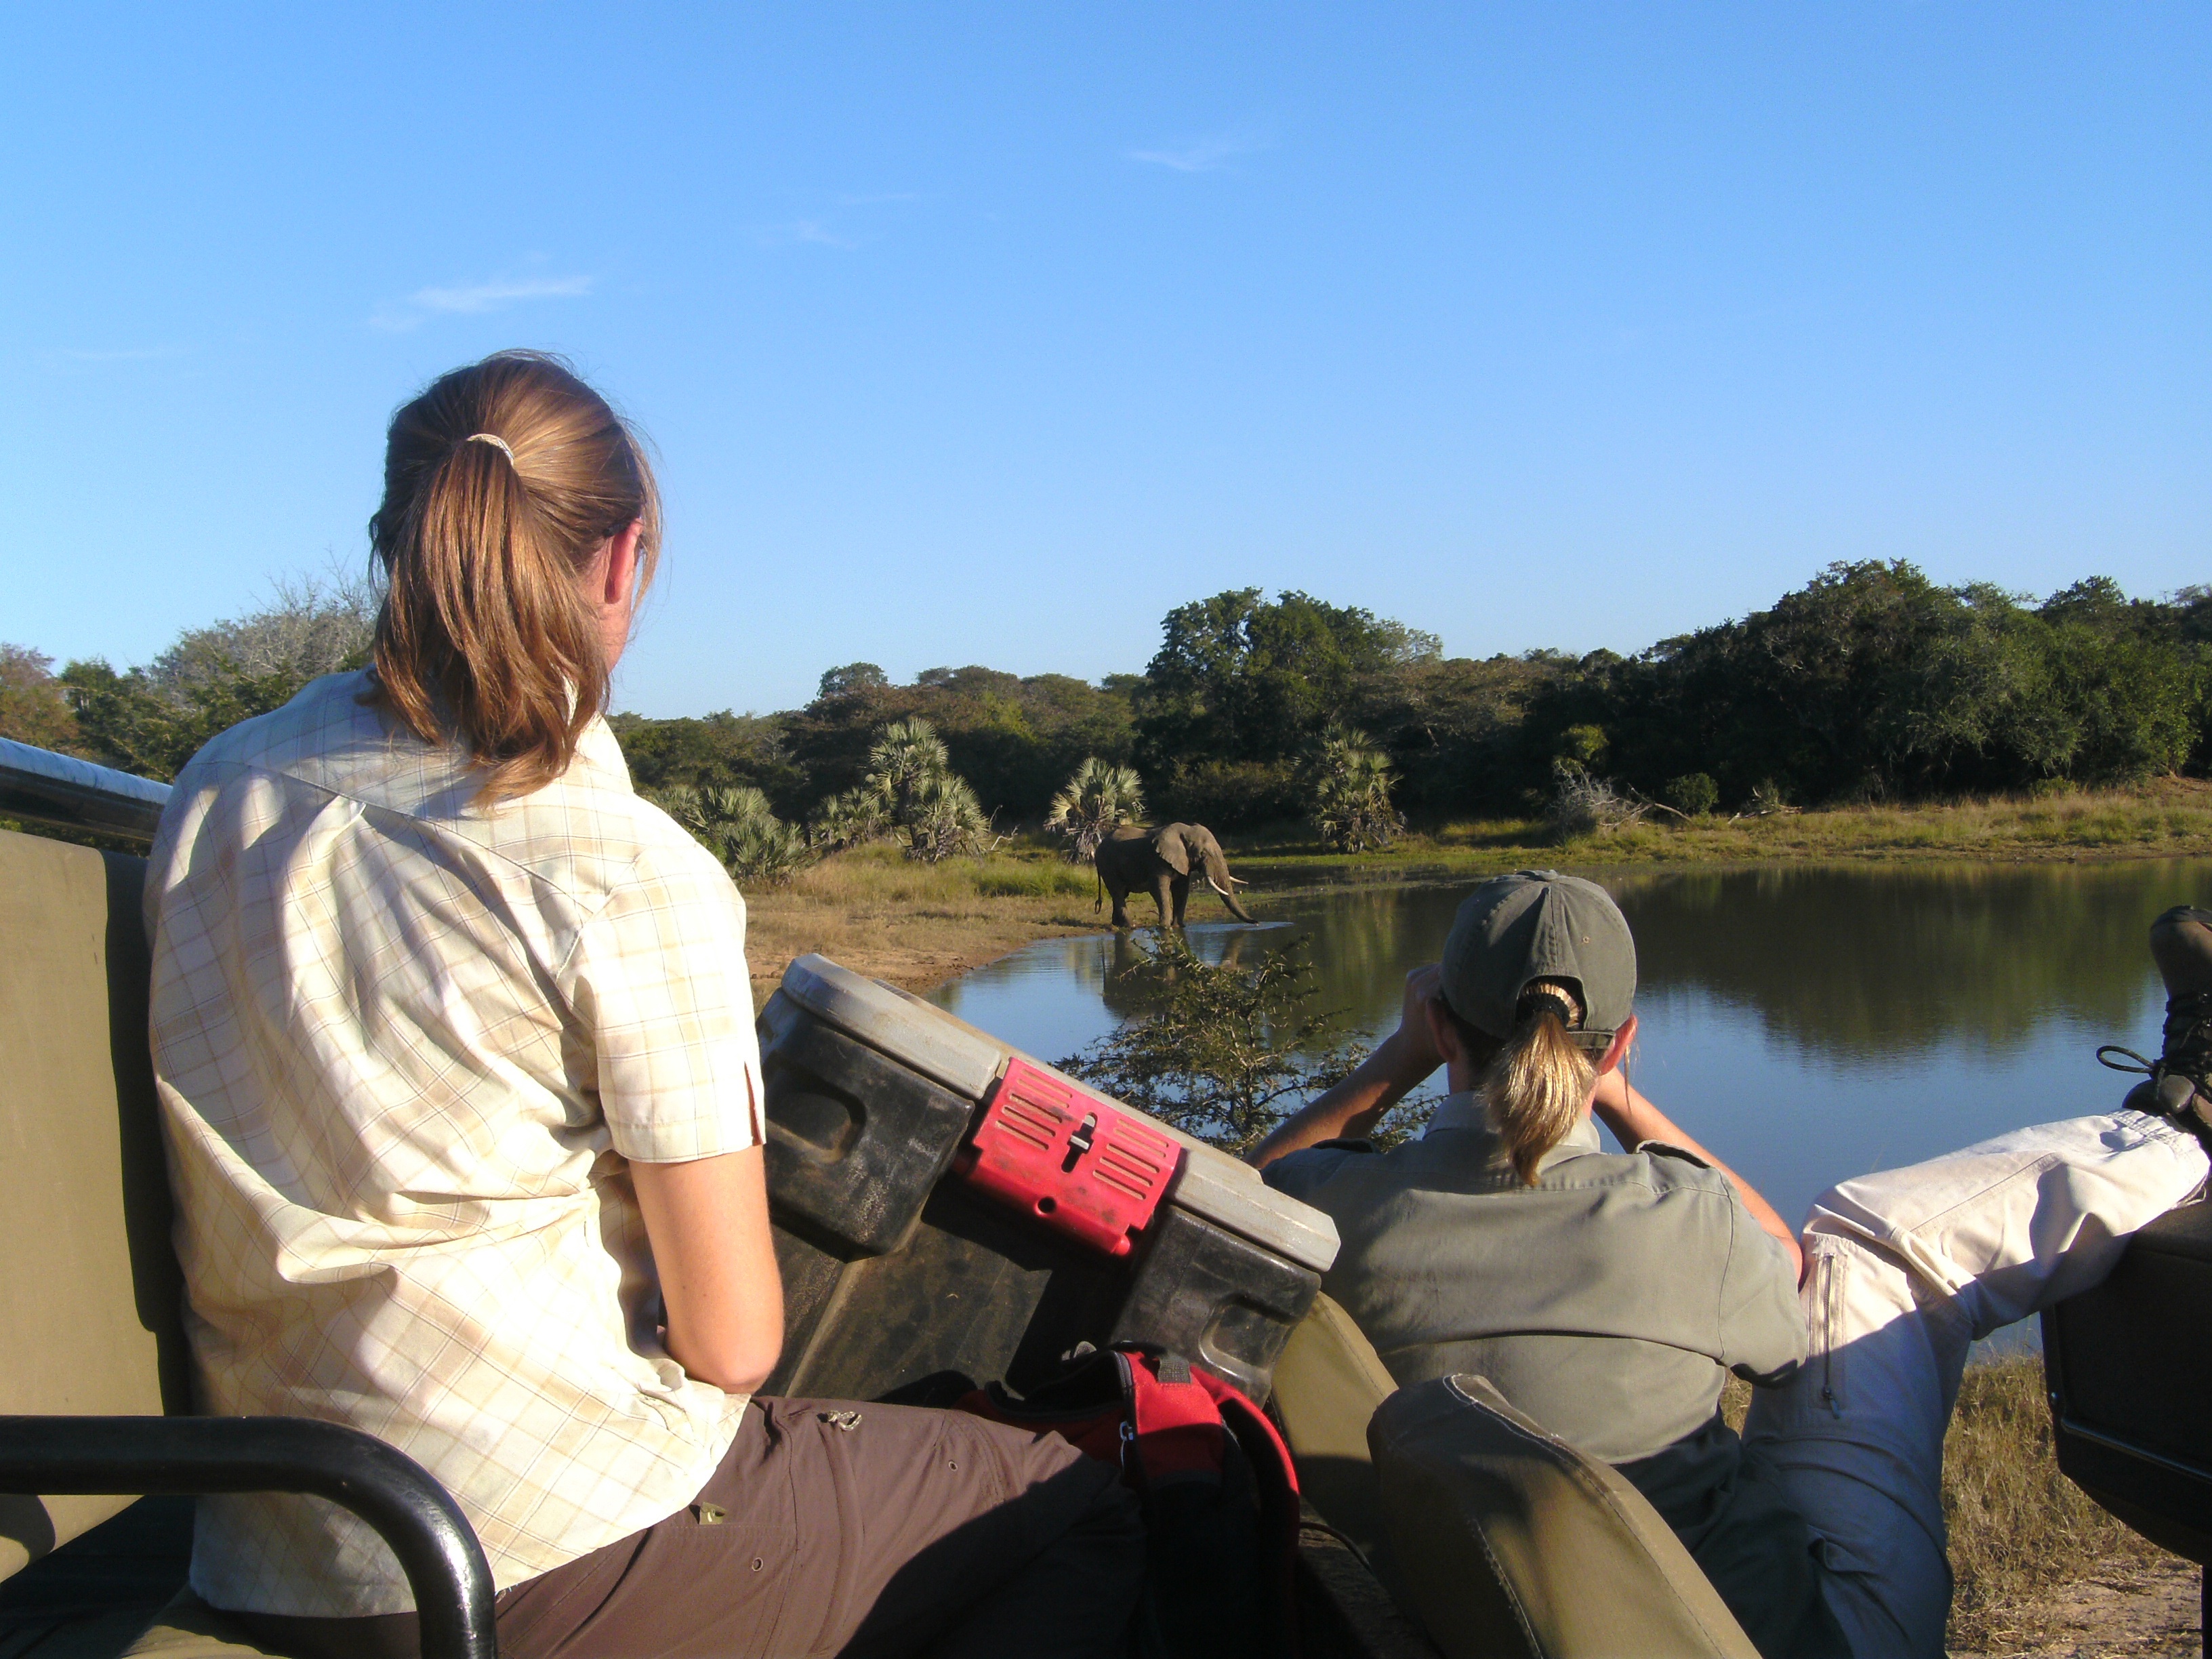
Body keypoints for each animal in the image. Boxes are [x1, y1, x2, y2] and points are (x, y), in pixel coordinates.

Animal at [1093, 822, 1256, 929]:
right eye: (1203, 854)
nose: (1257, 922)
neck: (1185, 832)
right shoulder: (1157, 861)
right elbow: (1159, 889)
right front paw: (1165, 928)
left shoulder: (1183, 862)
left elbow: (1181, 890)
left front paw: (1179, 926)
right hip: (1107, 865)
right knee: (1118, 892)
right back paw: (1130, 926)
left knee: (1119, 894)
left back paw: (1118, 925)